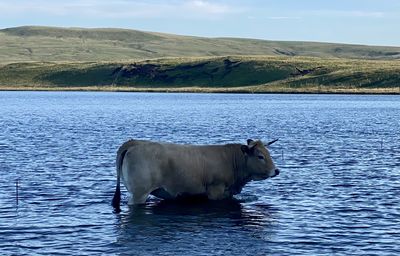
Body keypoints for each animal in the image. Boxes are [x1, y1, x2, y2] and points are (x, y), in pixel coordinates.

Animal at [111, 139, 280, 211]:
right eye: (260, 156)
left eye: (268, 153)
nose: (276, 170)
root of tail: (134, 143)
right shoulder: (215, 190)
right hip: (139, 193)